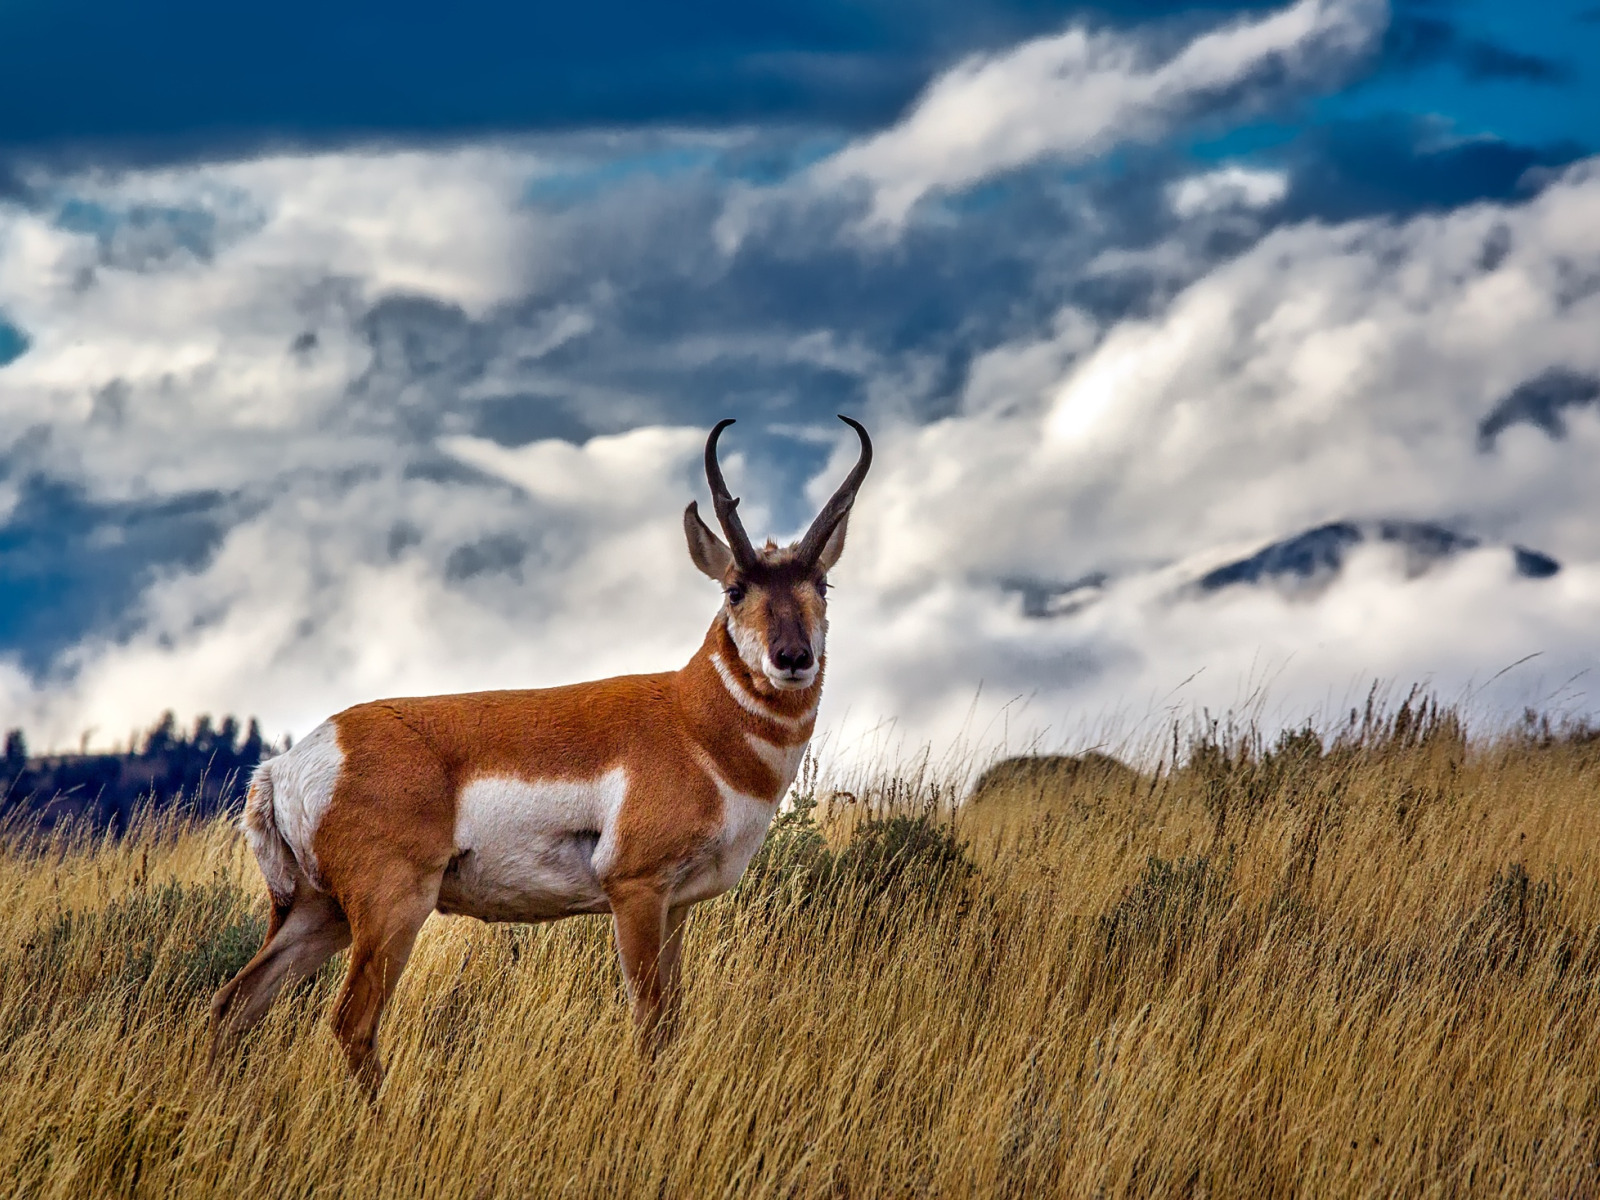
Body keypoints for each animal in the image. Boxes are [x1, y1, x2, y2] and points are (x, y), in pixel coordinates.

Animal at [212, 419, 876, 1094]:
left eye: (821, 584)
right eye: (736, 589)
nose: (793, 658)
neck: (691, 721)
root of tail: (287, 766)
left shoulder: (679, 905)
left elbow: (672, 1020)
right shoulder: (636, 890)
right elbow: (650, 1022)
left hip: (319, 914)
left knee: (236, 1002)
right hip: (391, 907)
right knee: (351, 1020)